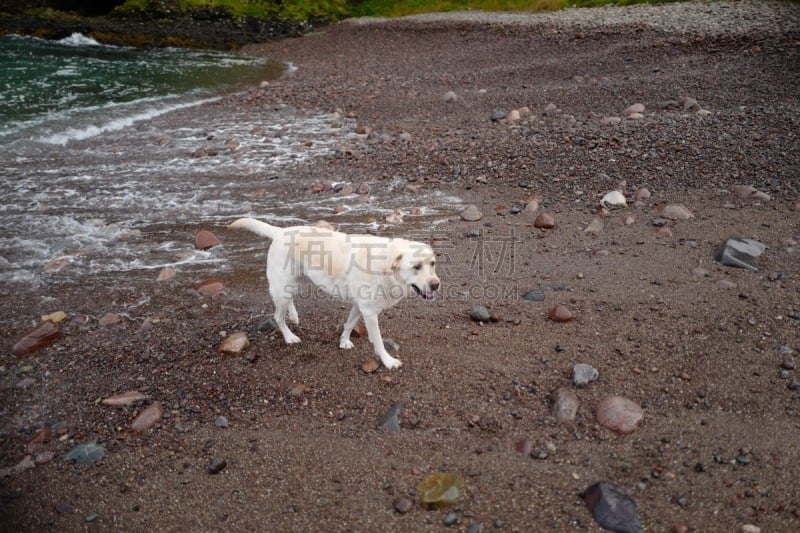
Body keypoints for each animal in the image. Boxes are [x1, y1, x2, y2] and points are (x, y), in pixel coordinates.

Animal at [228, 218, 440, 368]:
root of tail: (280, 231)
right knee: (277, 316)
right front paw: (388, 361)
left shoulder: (360, 306)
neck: (386, 266)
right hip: (282, 287)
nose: (436, 285)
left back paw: (294, 316)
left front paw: (344, 341)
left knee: (288, 304)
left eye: (432, 264)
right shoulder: (369, 312)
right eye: (416, 267)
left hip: (292, 284)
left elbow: (349, 323)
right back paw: (289, 337)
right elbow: (379, 341)